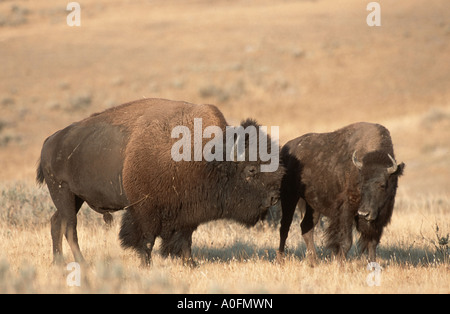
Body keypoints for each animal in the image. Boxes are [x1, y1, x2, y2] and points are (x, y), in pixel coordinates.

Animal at [37, 97, 284, 264]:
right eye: (251, 170)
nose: (274, 197)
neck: (207, 155)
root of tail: (50, 141)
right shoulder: (145, 209)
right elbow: (146, 239)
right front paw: (146, 265)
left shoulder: (186, 213)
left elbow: (185, 240)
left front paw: (190, 263)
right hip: (63, 192)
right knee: (70, 227)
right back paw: (82, 263)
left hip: (73, 198)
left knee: (56, 222)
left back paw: (58, 262)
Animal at [278, 122, 404, 262]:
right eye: (361, 184)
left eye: (382, 185)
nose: (364, 213)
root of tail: (285, 149)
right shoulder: (347, 209)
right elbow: (346, 241)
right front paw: (339, 263)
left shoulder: (379, 217)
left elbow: (372, 242)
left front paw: (372, 263)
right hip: (289, 197)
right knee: (284, 227)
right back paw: (280, 259)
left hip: (312, 205)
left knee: (306, 227)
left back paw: (313, 262)